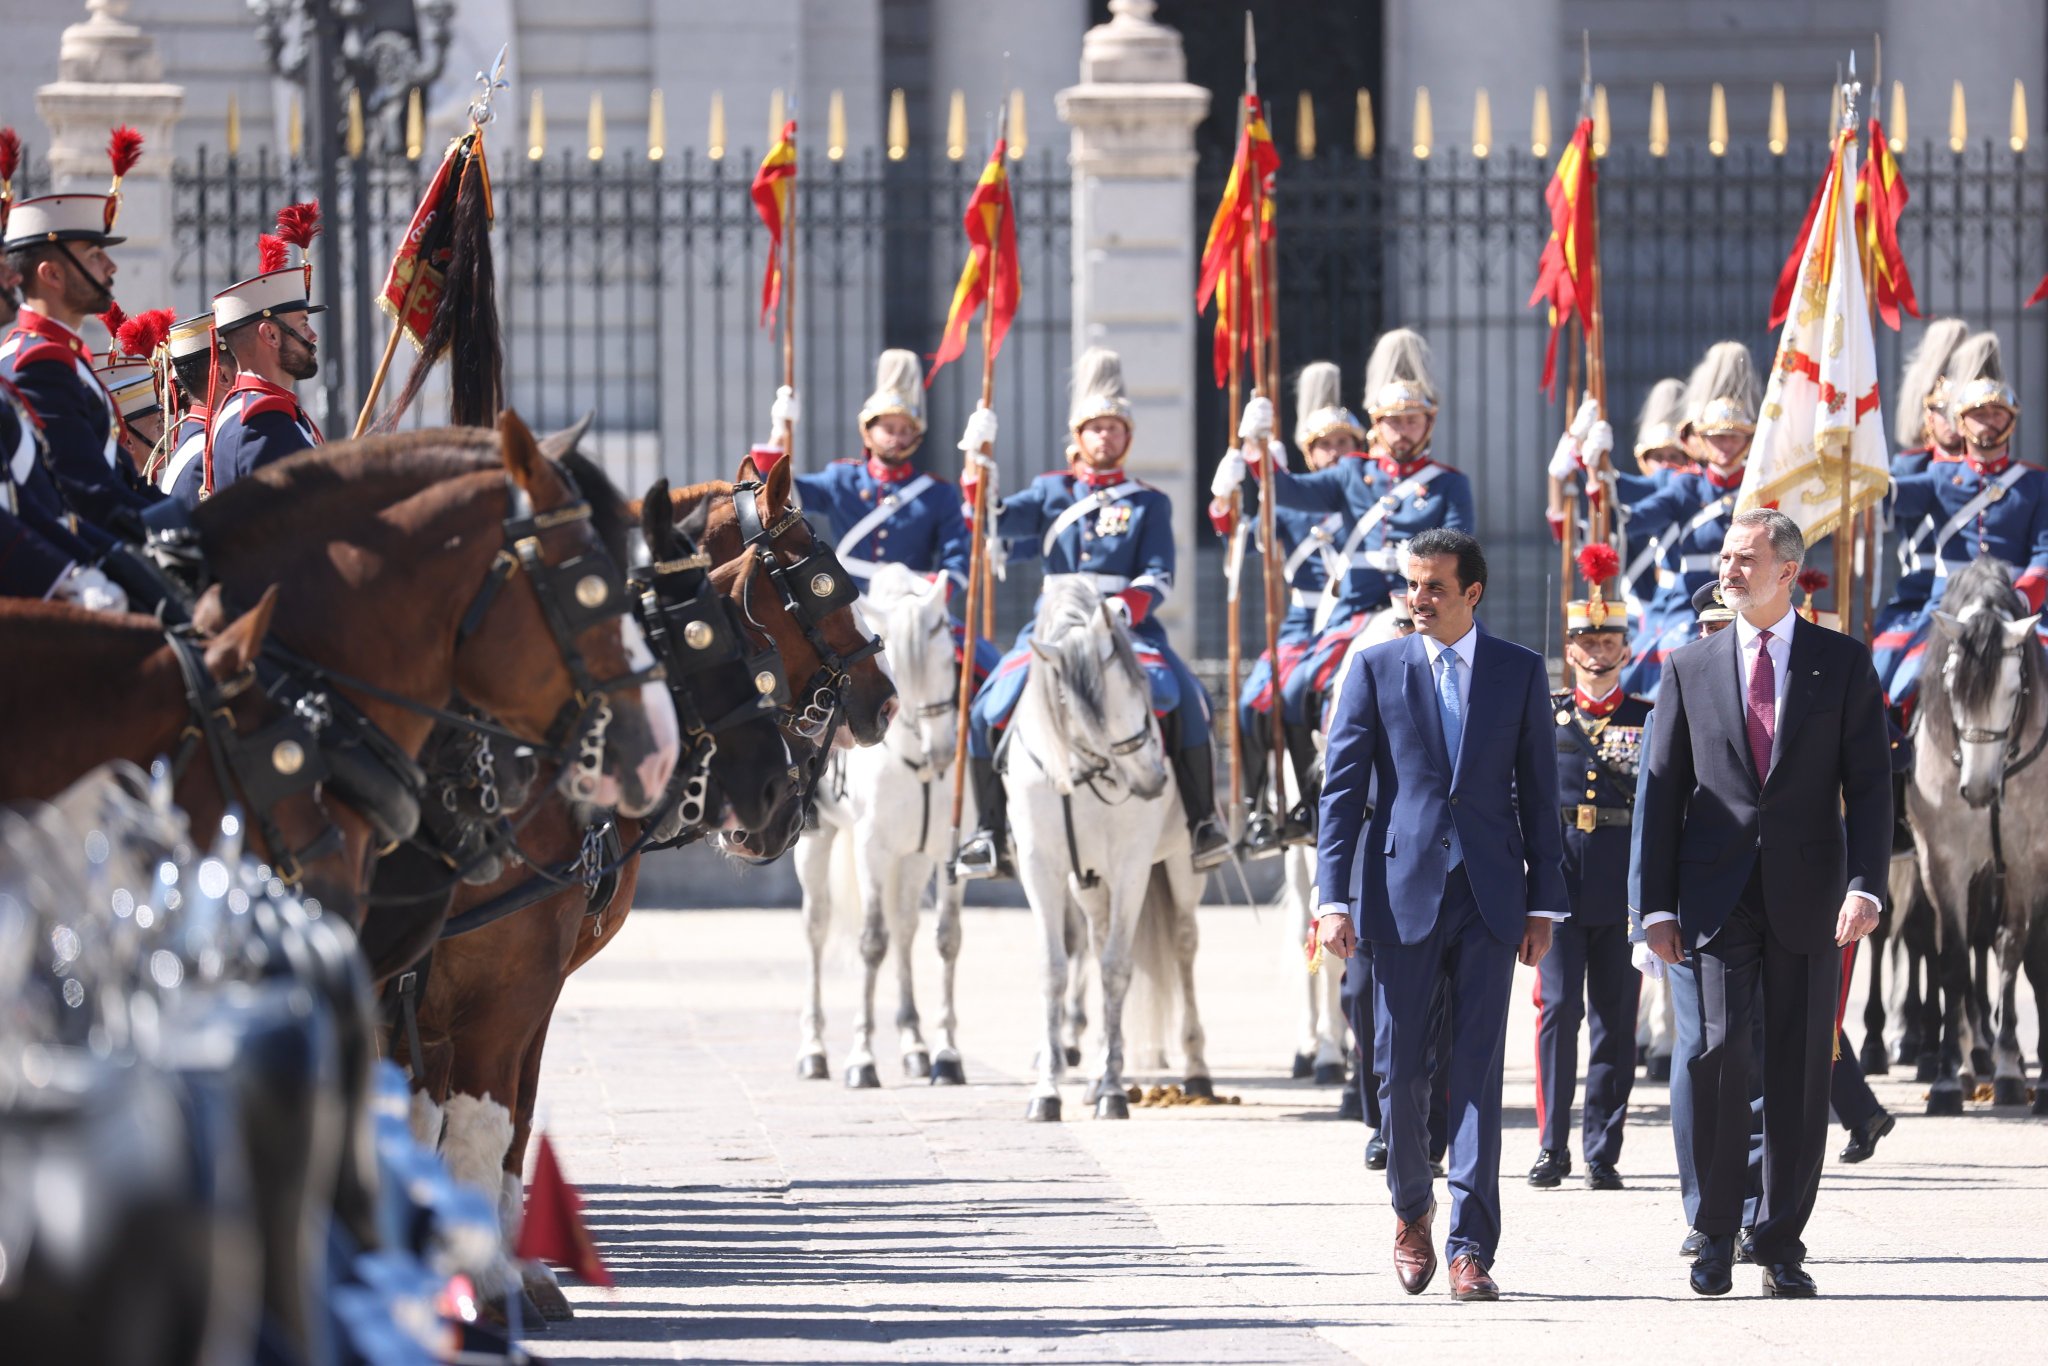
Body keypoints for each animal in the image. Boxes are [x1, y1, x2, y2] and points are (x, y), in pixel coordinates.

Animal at [790, 565, 966, 1089]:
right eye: (904, 669)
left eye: (949, 654)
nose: (942, 752)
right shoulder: (873, 849)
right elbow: (871, 944)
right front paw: (862, 1057)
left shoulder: (944, 853)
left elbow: (946, 939)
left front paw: (947, 1052)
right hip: (818, 844)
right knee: (817, 927)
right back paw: (814, 1049)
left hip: (913, 859)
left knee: (905, 927)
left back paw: (914, 1045)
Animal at [1003, 577, 1204, 1122]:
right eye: (1088, 705)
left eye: (1145, 691)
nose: (1155, 780)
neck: (1076, 769)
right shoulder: (1041, 868)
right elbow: (1053, 970)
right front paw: (1047, 1091)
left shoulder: (1132, 866)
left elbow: (1116, 968)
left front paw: (1114, 1090)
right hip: (1088, 883)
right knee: (1093, 942)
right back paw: (1093, 1075)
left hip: (1181, 867)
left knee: (1183, 947)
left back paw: (1196, 1069)